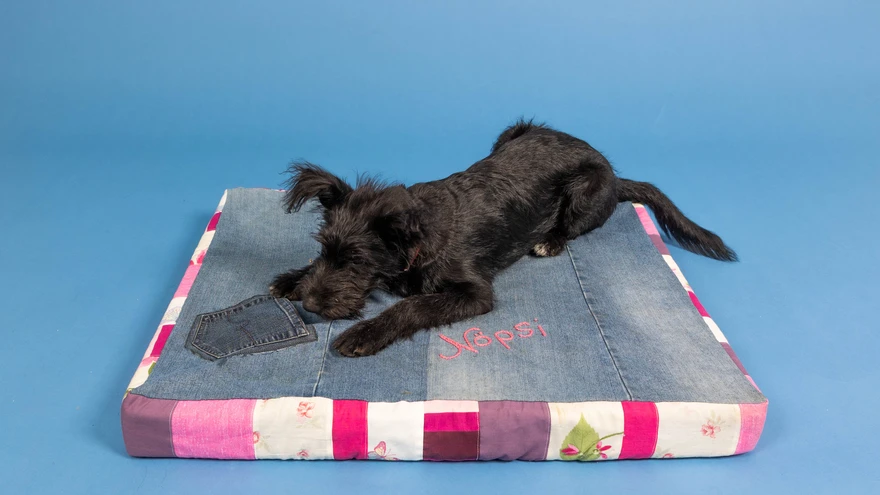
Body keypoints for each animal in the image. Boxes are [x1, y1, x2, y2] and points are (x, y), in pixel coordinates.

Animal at [269, 120, 736, 357]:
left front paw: (365, 333)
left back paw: (550, 240)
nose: (311, 305)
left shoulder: (474, 292)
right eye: (323, 248)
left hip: (586, 190)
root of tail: (615, 175)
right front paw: (292, 278)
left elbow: (413, 305)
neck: (421, 237)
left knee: (571, 226)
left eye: (356, 260)